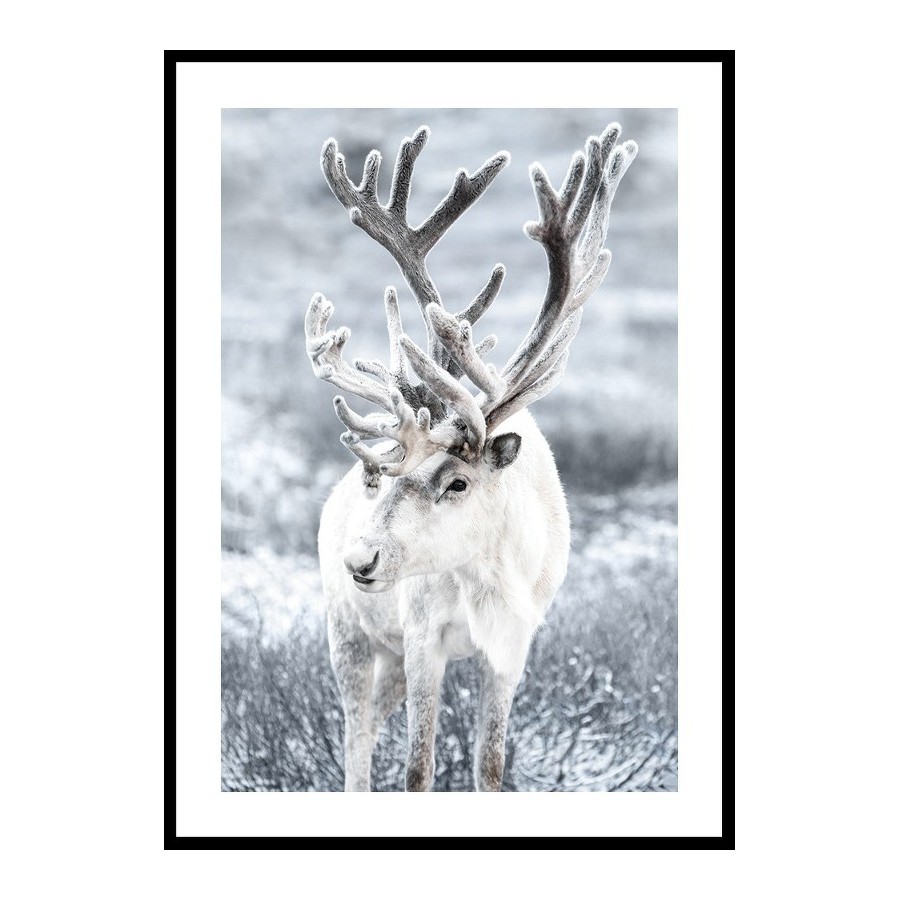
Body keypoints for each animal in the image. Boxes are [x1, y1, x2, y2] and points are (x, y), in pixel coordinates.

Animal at [305, 123, 637, 791]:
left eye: (457, 482)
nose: (361, 558)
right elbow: (417, 768)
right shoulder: (419, 635)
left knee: (370, 725)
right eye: (387, 479)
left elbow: (490, 766)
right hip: (348, 630)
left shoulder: (514, 645)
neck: (490, 579)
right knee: (355, 739)